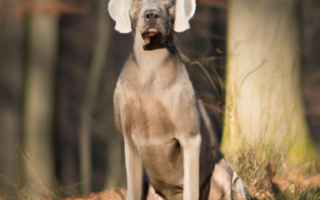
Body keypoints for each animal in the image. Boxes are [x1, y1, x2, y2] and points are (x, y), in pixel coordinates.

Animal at [108, 0, 252, 199]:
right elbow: (133, 190)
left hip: (225, 173)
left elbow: (191, 188)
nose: (152, 14)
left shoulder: (190, 138)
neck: (149, 70)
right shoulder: (130, 142)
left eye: (168, 3)